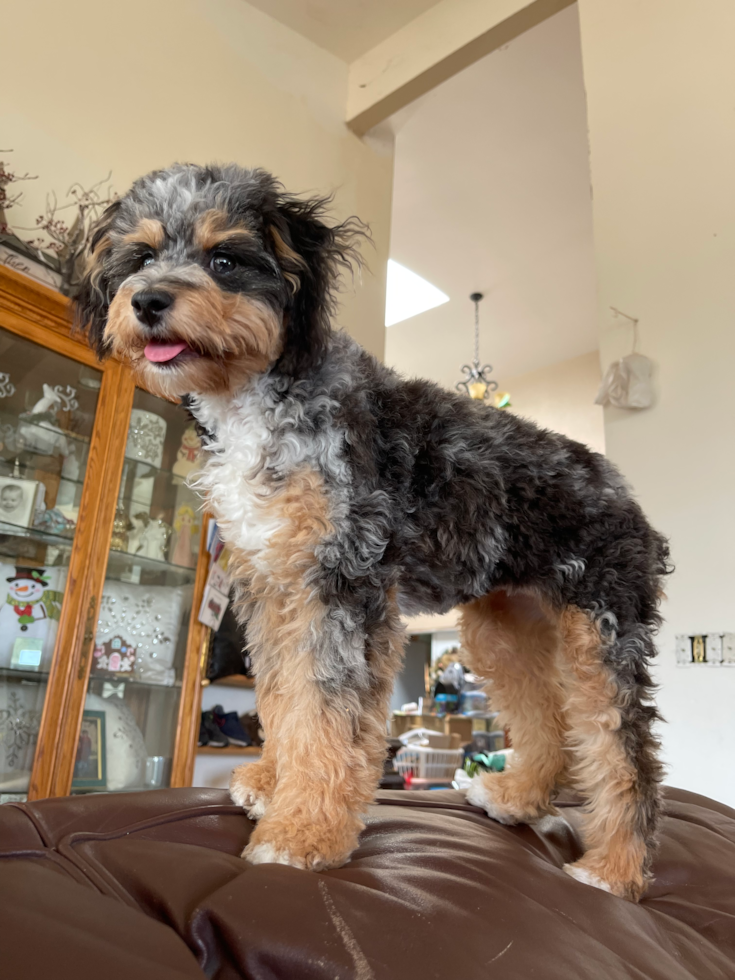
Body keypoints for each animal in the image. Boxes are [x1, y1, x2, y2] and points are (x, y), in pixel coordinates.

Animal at [77, 163, 668, 904]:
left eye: (225, 260)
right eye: (141, 257)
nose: (149, 300)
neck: (262, 396)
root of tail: (626, 496)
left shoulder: (342, 584)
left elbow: (327, 715)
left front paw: (303, 833)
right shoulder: (277, 588)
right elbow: (284, 699)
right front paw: (273, 784)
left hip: (601, 634)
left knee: (625, 753)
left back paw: (615, 869)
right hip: (503, 630)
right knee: (551, 723)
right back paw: (514, 797)